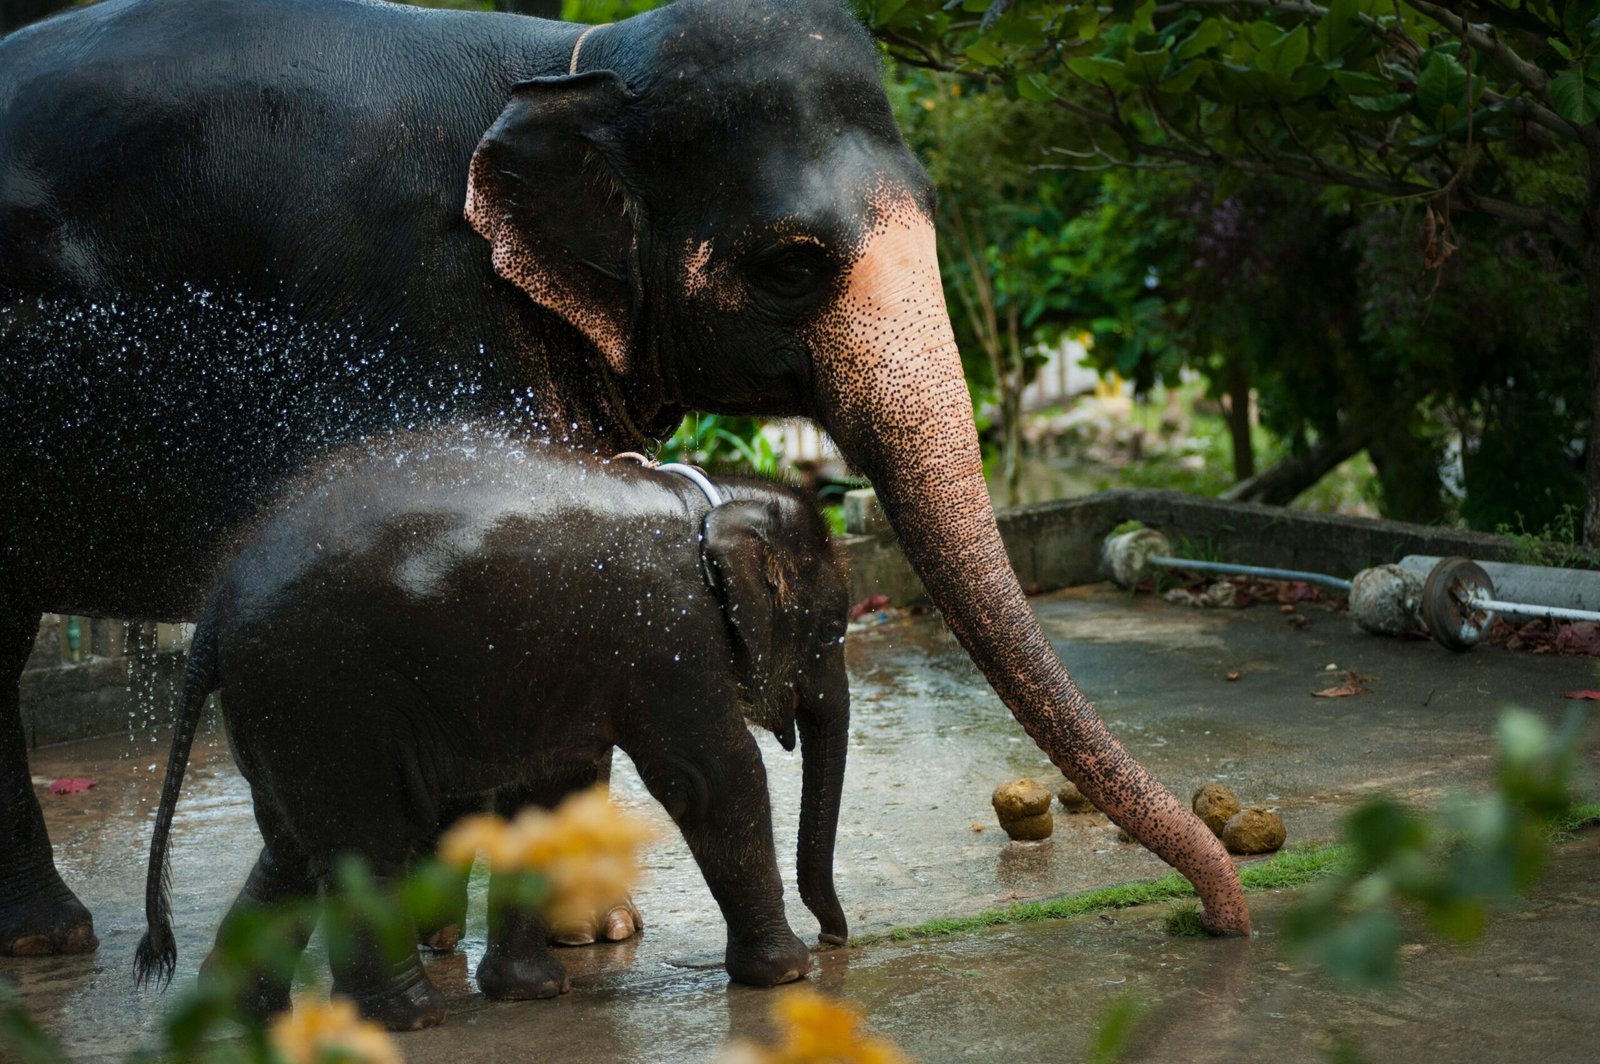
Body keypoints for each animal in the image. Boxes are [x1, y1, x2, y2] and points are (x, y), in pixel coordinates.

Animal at [0, 0, 1246, 960]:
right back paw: (58, 936)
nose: (1219, 918)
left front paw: (590, 935)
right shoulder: (415, 310)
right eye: (790, 265)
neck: (569, 63)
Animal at [133, 425, 852, 1029]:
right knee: (369, 839)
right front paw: (786, 975)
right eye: (832, 631)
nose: (836, 937)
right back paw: (411, 1018)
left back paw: (246, 1011)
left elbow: (547, 795)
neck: (707, 502)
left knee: (292, 845)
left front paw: (531, 991)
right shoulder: (670, 636)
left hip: (284, 709)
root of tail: (215, 609)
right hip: (324, 693)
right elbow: (712, 778)